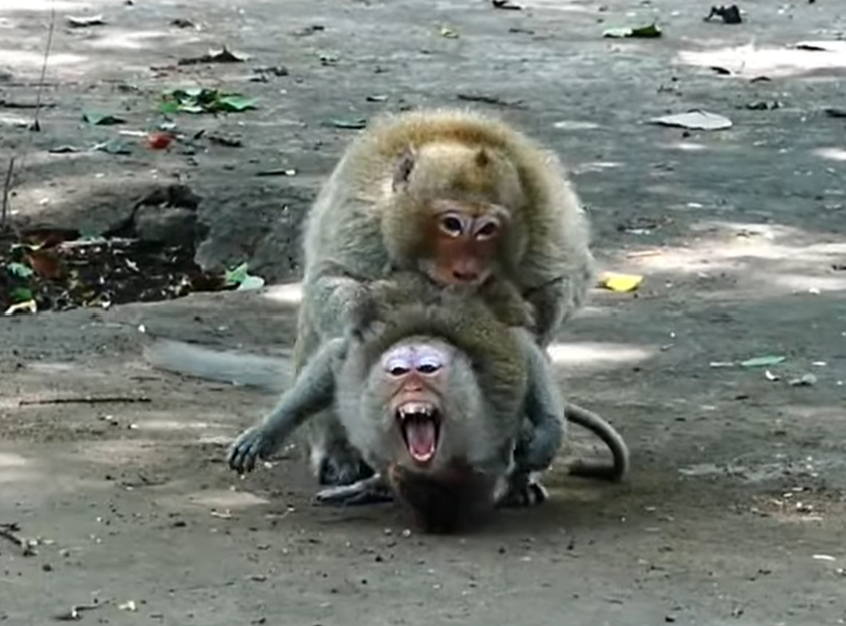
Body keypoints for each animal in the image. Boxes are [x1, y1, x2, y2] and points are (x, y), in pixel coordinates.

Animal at [291, 107, 597, 487]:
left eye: (487, 230)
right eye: (452, 224)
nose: (465, 268)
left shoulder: (544, 223)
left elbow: (565, 282)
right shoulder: (363, 211)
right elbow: (331, 279)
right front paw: (366, 314)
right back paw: (341, 456)